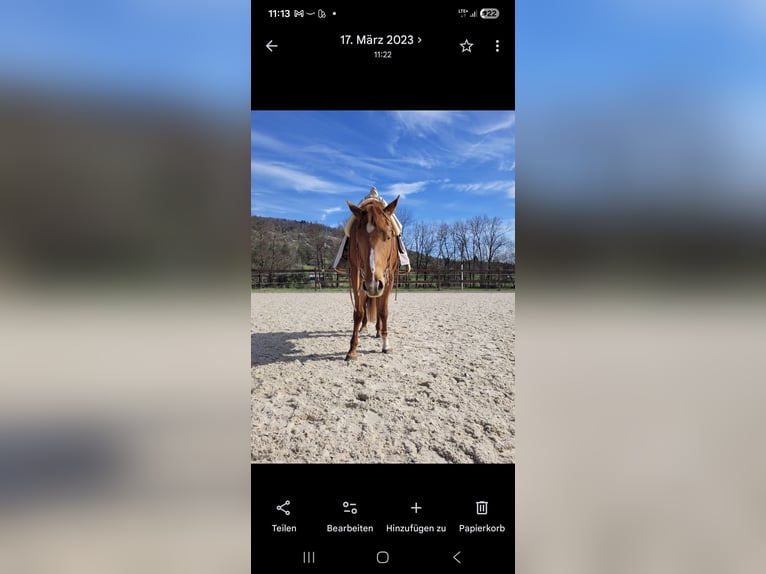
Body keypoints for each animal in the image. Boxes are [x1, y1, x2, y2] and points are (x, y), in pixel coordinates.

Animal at [344, 195, 400, 361]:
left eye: (388, 236)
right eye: (358, 239)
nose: (374, 285)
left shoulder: (388, 278)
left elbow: (383, 311)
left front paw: (386, 345)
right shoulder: (356, 274)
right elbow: (358, 312)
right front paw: (352, 349)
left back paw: (379, 331)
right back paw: (364, 328)